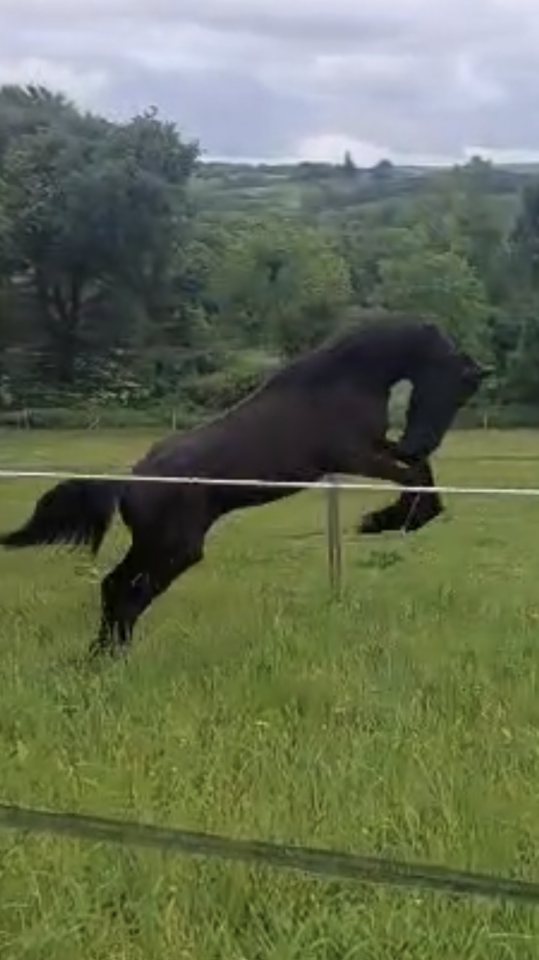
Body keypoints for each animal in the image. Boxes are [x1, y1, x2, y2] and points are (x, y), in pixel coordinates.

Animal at [0, 315, 489, 658]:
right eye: (456, 388)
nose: (420, 440)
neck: (341, 380)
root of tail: (131, 482)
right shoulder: (353, 455)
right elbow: (413, 478)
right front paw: (381, 520)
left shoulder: (376, 448)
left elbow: (422, 475)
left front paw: (394, 518)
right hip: (174, 548)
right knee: (126, 591)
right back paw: (106, 659)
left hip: (160, 546)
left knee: (117, 588)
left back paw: (104, 658)